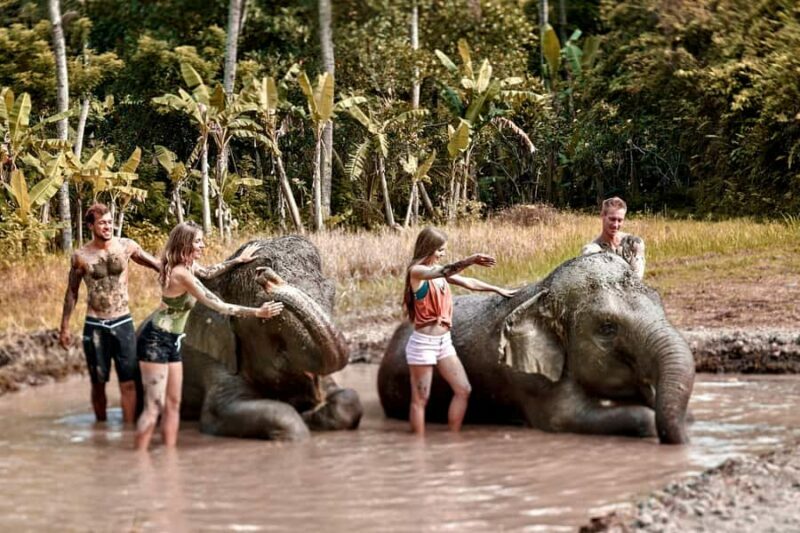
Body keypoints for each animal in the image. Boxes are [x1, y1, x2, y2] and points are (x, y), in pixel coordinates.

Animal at [176, 235, 363, 441]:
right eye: (264, 308)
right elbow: (220, 411)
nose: (265, 275)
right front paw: (301, 424)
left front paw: (310, 413)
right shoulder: (213, 357)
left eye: (332, 293)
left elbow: (348, 400)